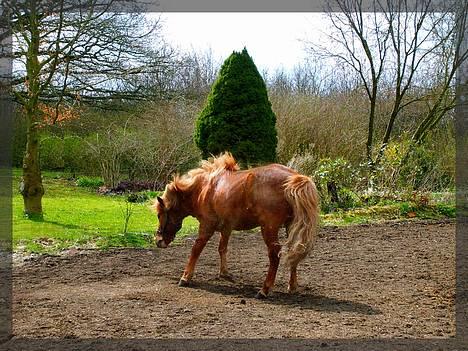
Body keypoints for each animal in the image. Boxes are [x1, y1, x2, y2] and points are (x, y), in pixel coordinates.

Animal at [155, 153, 320, 298]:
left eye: (159, 214)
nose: (158, 240)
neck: (204, 189)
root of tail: (293, 177)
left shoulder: (207, 225)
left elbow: (196, 249)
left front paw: (186, 277)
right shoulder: (227, 228)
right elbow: (222, 248)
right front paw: (224, 273)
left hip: (269, 228)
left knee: (274, 255)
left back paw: (264, 290)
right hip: (290, 226)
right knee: (294, 250)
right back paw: (292, 286)